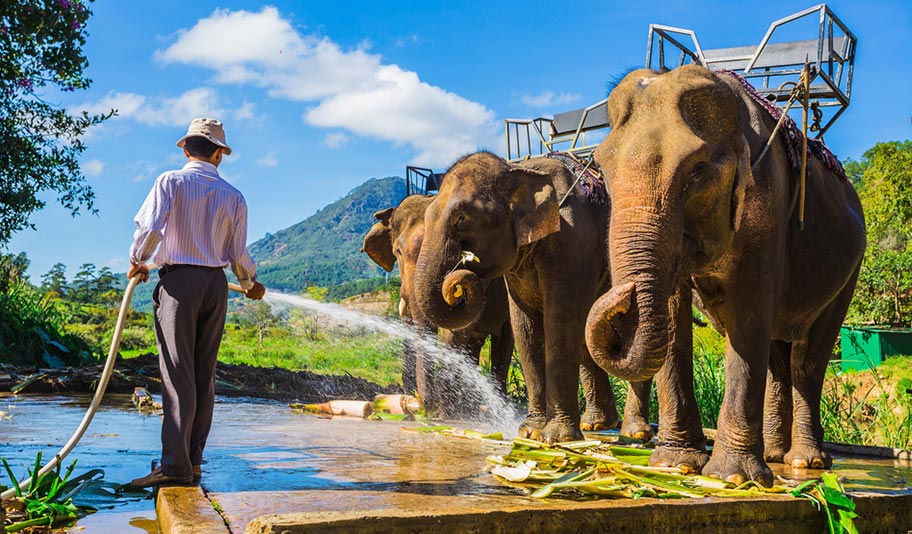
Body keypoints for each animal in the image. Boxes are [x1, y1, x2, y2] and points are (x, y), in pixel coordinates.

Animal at [366, 195, 520, 416]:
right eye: (398, 252)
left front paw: (443, 412)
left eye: (457, 252)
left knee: (504, 340)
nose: (420, 406)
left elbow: (454, 333)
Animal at [414, 153, 656, 446]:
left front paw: (556, 438)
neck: (520, 169)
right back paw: (597, 424)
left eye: (462, 218)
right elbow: (525, 328)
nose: (459, 283)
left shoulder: (572, 242)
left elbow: (560, 322)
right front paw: (530, 432)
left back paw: (635, 433)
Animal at [588, 65, 864, 488]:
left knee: (807, 360)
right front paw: (676, 465)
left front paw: (732, 477)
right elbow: (675, 313)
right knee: (778, 357)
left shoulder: (768, 198)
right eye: (601, 168)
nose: (621, 297)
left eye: (697, 172)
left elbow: (748, 314)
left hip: (849, 271)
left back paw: (806, 463)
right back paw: (775, 455)